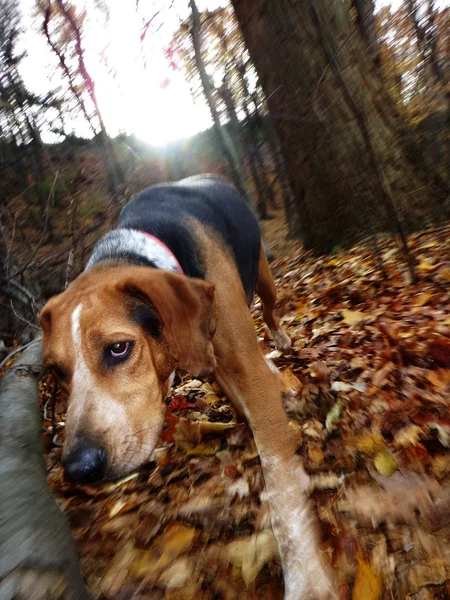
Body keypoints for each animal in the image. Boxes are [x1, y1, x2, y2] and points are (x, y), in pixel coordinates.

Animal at [41, 175, 334, 600]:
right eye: (57, 371)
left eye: (118, 348)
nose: (79, 468)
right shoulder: (214, 364)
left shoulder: (246, 368)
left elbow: (281, 484)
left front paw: (307, 578)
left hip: (264, 276)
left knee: (269, 308)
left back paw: (279, 343)